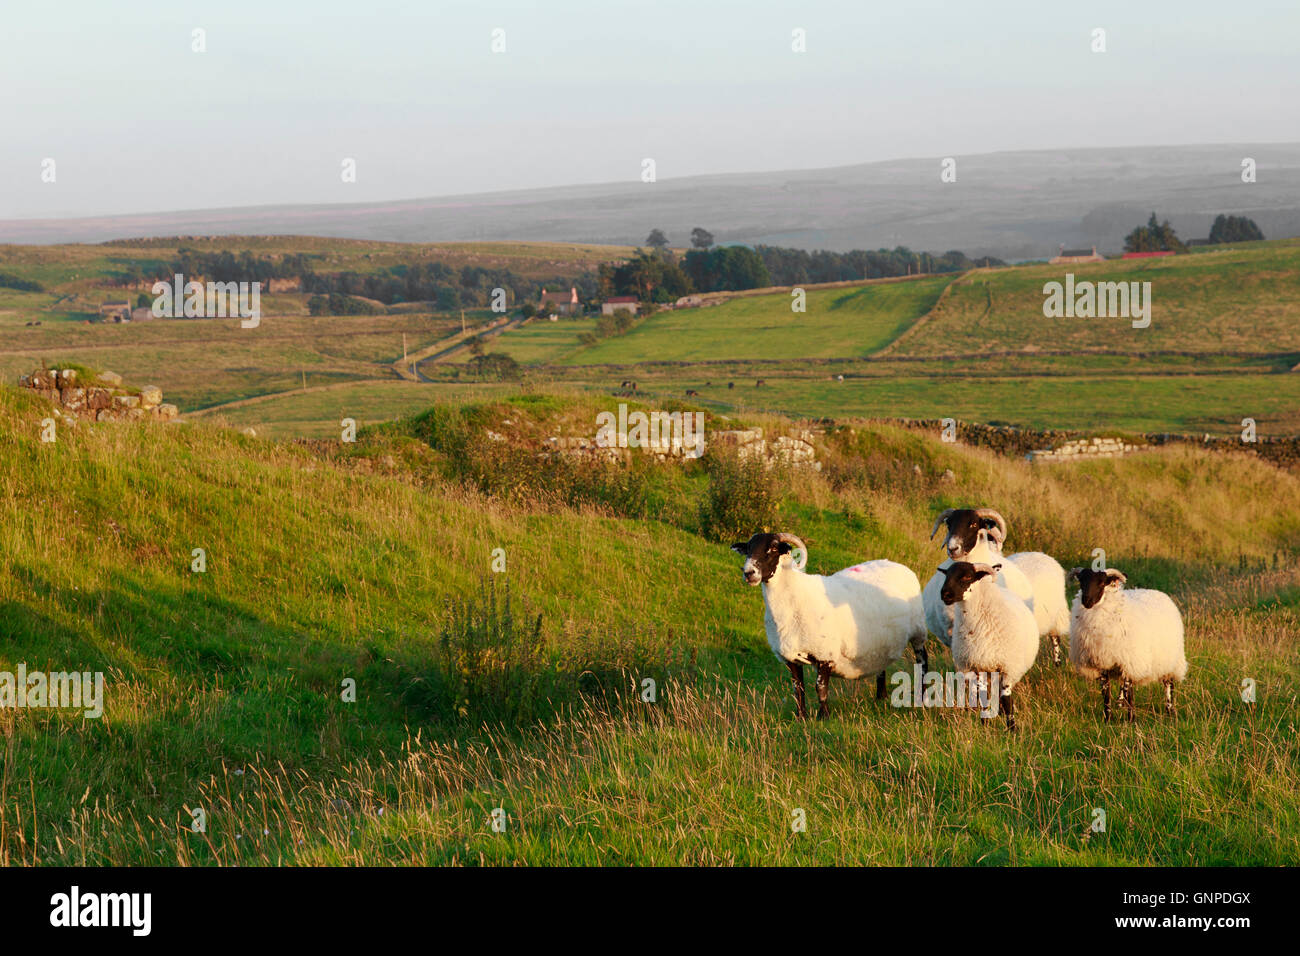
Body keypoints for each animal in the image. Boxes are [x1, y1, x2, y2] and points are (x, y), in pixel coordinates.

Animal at [728, 530, 930, 717]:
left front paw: (823, 716)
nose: (748, 573)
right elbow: (798, 690)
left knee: (923, 660)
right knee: (882, 666)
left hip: (918, 630)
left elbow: (820, 688)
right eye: (748, 550)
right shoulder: (790, 658)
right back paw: (881, 697)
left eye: (772, 549)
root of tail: (900, 565)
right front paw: (802, 717)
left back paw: (922, 697)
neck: (795, 596)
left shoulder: (825, 653)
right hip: (882, 641)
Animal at [941, 561, 1040, 733]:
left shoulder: (1007, 668)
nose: (945, 594)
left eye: (967, 576)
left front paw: (1012, 729)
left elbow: (1007, 700)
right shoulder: (977, 666)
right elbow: (982, 697)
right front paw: (985, 725)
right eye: (946, 575)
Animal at [1066, 564, 1190, 723]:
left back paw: (1170, 711)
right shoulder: (1103, 663)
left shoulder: (1129, 662)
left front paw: (1131, 720)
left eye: (1101, 583)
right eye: (1081, 581)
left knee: (1168, 685)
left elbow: (1129, 691)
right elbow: (1106, 693)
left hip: (1170, 660)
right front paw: (1107, 719)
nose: (1086, 601)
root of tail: (1157, 592)